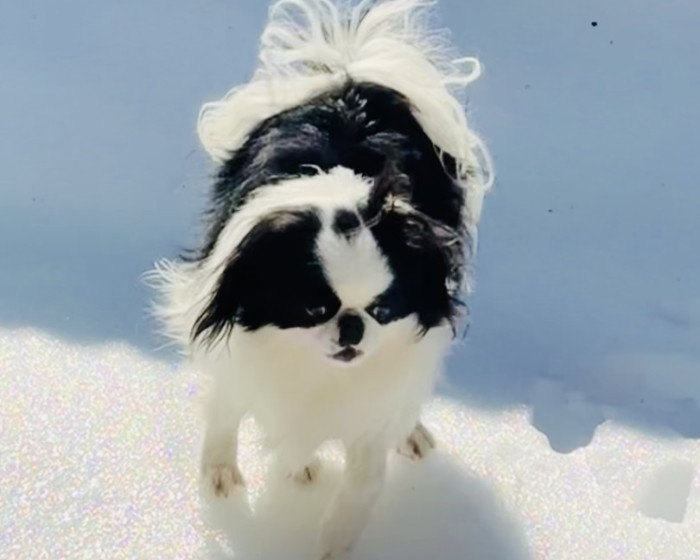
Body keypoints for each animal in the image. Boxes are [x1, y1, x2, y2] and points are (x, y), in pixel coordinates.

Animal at [149, 1, 492, 557]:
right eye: (313, 309)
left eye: (383, 311)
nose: (351, 330)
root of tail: (351, 82)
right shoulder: (239, 362)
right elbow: (226, 413)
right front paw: (223, 476)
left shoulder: (372, 413)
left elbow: (360, 485)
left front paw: (332, 542)